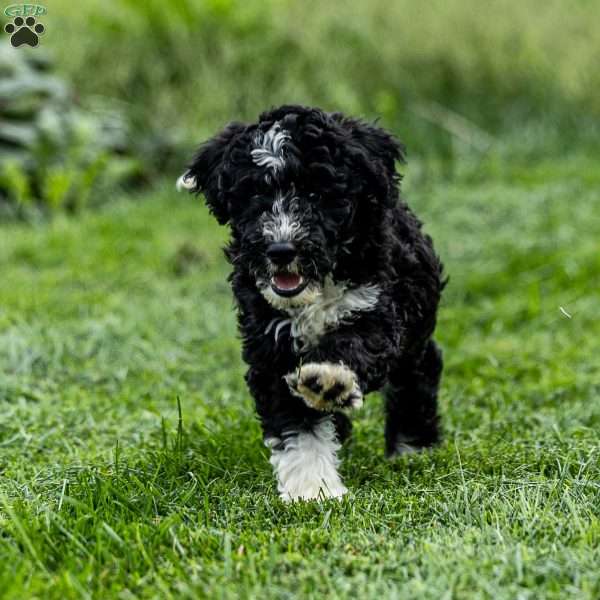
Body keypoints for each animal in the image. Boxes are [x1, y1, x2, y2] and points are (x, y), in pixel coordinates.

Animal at [176, 104, 442, 502]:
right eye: (255, 196)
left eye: (317, 193)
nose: (281, 250)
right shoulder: (270, 343)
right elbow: (297, 423)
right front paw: (311, 488)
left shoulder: (376, 306)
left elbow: (354, 344)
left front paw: (329, 380)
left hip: (415, 332)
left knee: (416, 378)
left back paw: (413, 447)